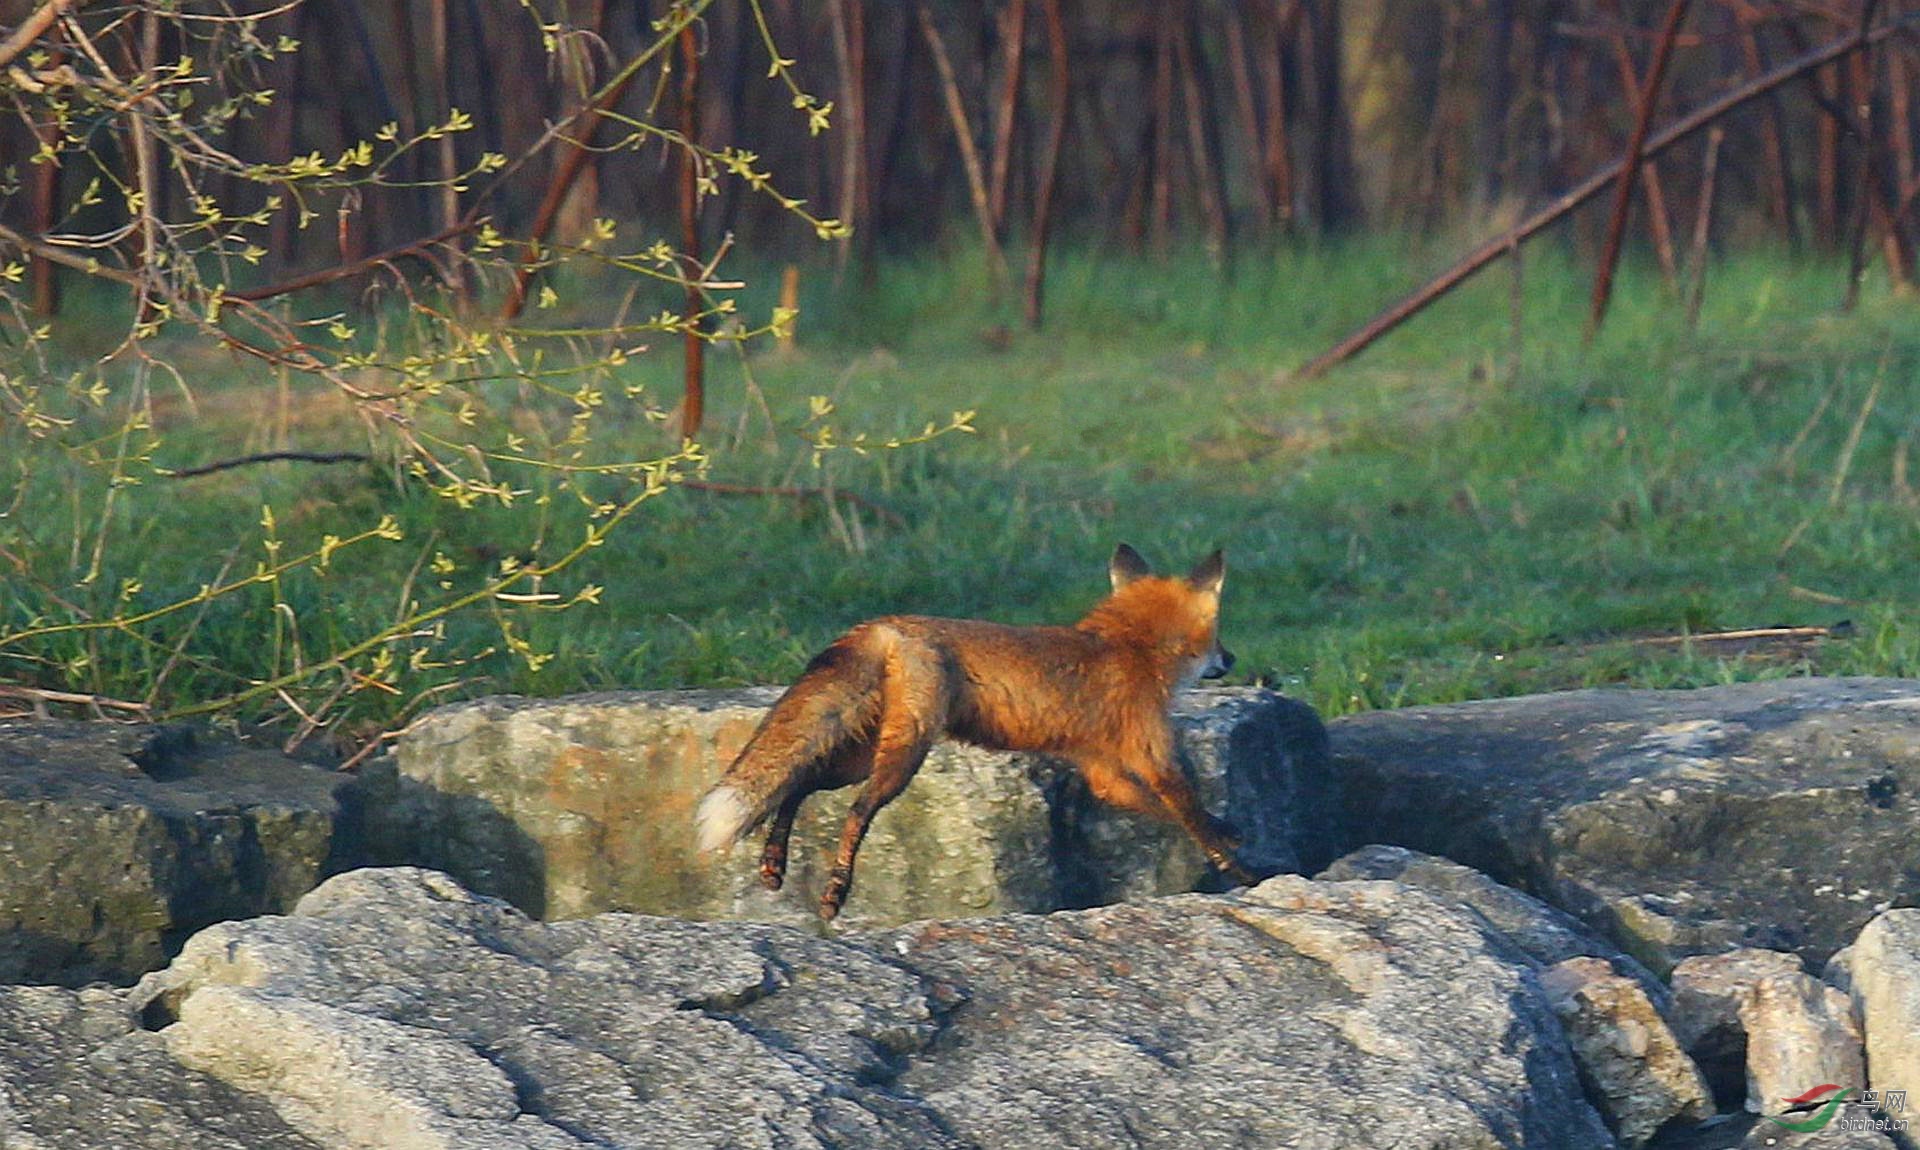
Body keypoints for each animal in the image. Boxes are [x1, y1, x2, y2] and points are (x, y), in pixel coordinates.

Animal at [695, 545, 1259, 921]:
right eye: (1218, 637)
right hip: (905, 752)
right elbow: (1188, 813)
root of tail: (887, 625)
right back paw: (835, 893)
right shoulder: (1154, 754)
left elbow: (1163, 810)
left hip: (859, 753)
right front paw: (1239, 869)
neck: (1131, 648)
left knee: (798, 783)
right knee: (855, 810)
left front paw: (1231, 833)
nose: (1232, 659)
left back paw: (773, 865)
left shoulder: (1105, 773)